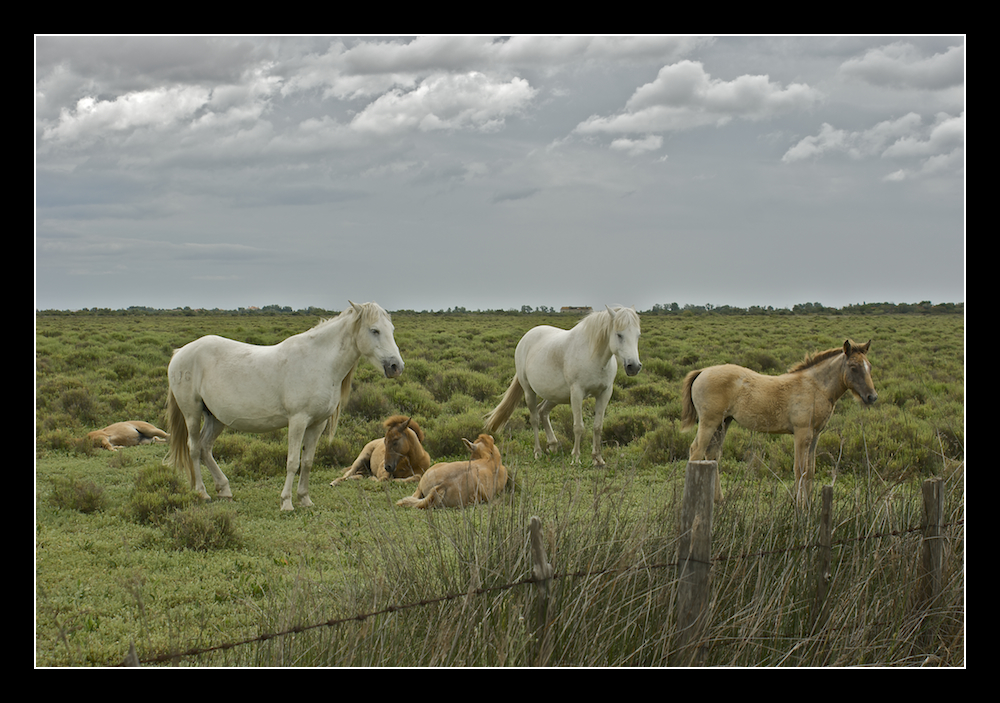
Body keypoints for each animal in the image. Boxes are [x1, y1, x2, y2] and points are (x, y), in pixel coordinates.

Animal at [165, 302, 402, 512]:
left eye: (391, 329)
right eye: (374, 330)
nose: (396, 366)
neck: (319, 362)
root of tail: (180, 352)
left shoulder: (317, 424)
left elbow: (307, 462)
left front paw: (305, 499)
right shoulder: (298, 421)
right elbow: (293, 462)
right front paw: (286, 502)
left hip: (216, 418)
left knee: (205, 448)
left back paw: (224, 490)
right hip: (192, 413)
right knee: (194, 448)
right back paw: (202, 492)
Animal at [482, 304, 640, 464]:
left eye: (638, 335)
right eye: (619, 335)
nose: (634, 366)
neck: (594, 356)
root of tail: (527, 337)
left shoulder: (605, 393)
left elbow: (597, 426)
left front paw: (598, 459)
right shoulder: (577, 393)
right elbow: (578, 426)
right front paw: (576, 458)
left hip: (554, 395)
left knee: (543, 411)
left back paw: (552, 444)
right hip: (529, 391)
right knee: (534, 419)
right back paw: (538, 452)